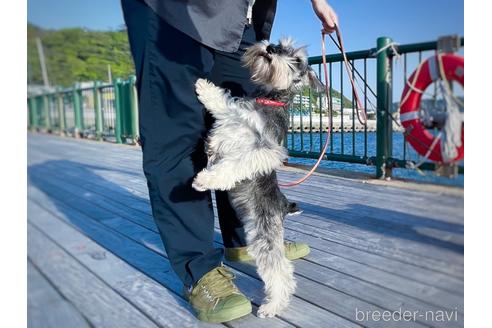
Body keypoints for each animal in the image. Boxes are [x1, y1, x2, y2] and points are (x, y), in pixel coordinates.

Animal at [191, 37, 322, 318]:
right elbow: (222, 103)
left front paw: (206, 180)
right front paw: (204, 87)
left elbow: (235, 164)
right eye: (281, 44)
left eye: (297, 60)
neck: (272, 101)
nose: (271, 48)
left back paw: (272, 306)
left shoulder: (265, 151)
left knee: (281, 272)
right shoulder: (233, 116)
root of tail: (283, 206)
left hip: (265, 238)